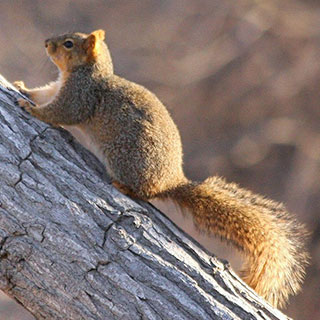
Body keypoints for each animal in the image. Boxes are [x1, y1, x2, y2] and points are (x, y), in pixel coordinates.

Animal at [13, 29, 310, 308]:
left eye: (68, 44)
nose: (46, 42)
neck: (89, 72)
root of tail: (171, 182)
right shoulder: (60, 87)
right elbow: (45, 92)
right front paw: (23, 87)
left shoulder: (80, 95)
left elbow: (59, 112)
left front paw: (31, 107)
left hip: (126, 160)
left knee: (144, 193)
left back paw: (125, 187)